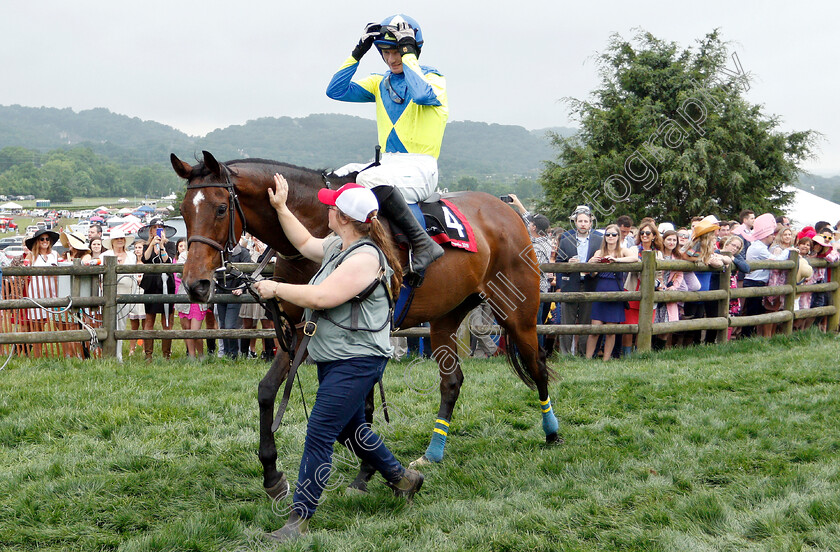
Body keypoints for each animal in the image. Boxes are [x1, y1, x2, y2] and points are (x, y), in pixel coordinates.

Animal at [172, 150, 556, 496]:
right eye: (185, 212)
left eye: (221, 209)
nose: (195, 284)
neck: (317, 223)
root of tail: (506, 211)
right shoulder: (298, 331)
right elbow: (268, 392)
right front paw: (272, 473)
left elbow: (361, 405)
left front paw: (367, 471)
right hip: (446, 316)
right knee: (452, 382)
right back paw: (433, 453)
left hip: (518, 312)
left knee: (537, 364)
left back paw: (552, 433)